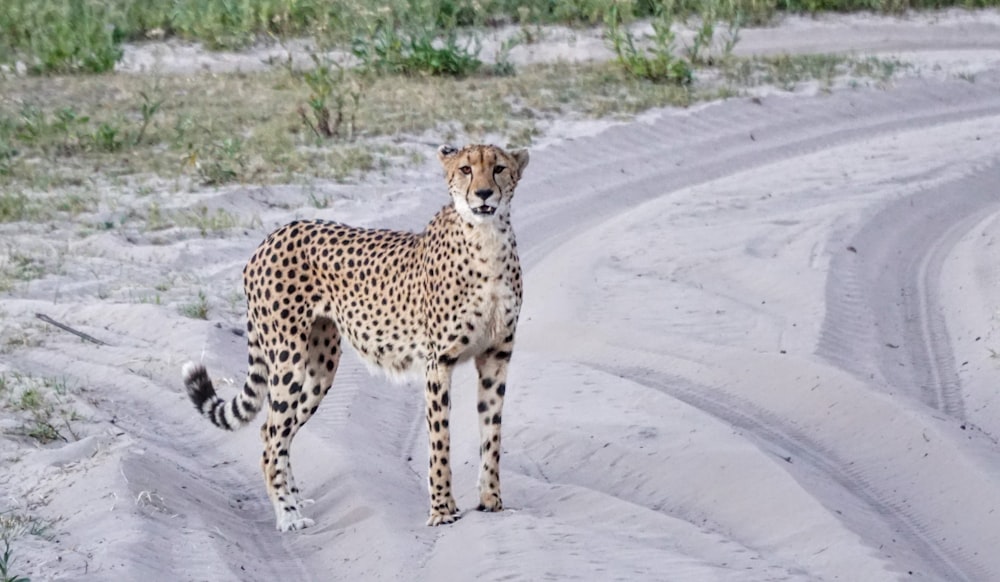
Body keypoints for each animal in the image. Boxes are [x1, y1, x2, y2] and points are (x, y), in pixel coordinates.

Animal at [181, 145, 528, 532]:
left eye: (499, 169)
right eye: (466, 169)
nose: (483, 194)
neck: (487, 240)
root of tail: (276, 234)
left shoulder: (496, 357)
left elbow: (491, 434)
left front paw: (492, 501)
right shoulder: (439, 362)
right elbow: (440, 440)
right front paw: (441, 510)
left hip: (322, 365)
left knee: (275, 431)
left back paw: (296, 500)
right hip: (287, 358)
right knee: (272, 433)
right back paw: (288, 515)